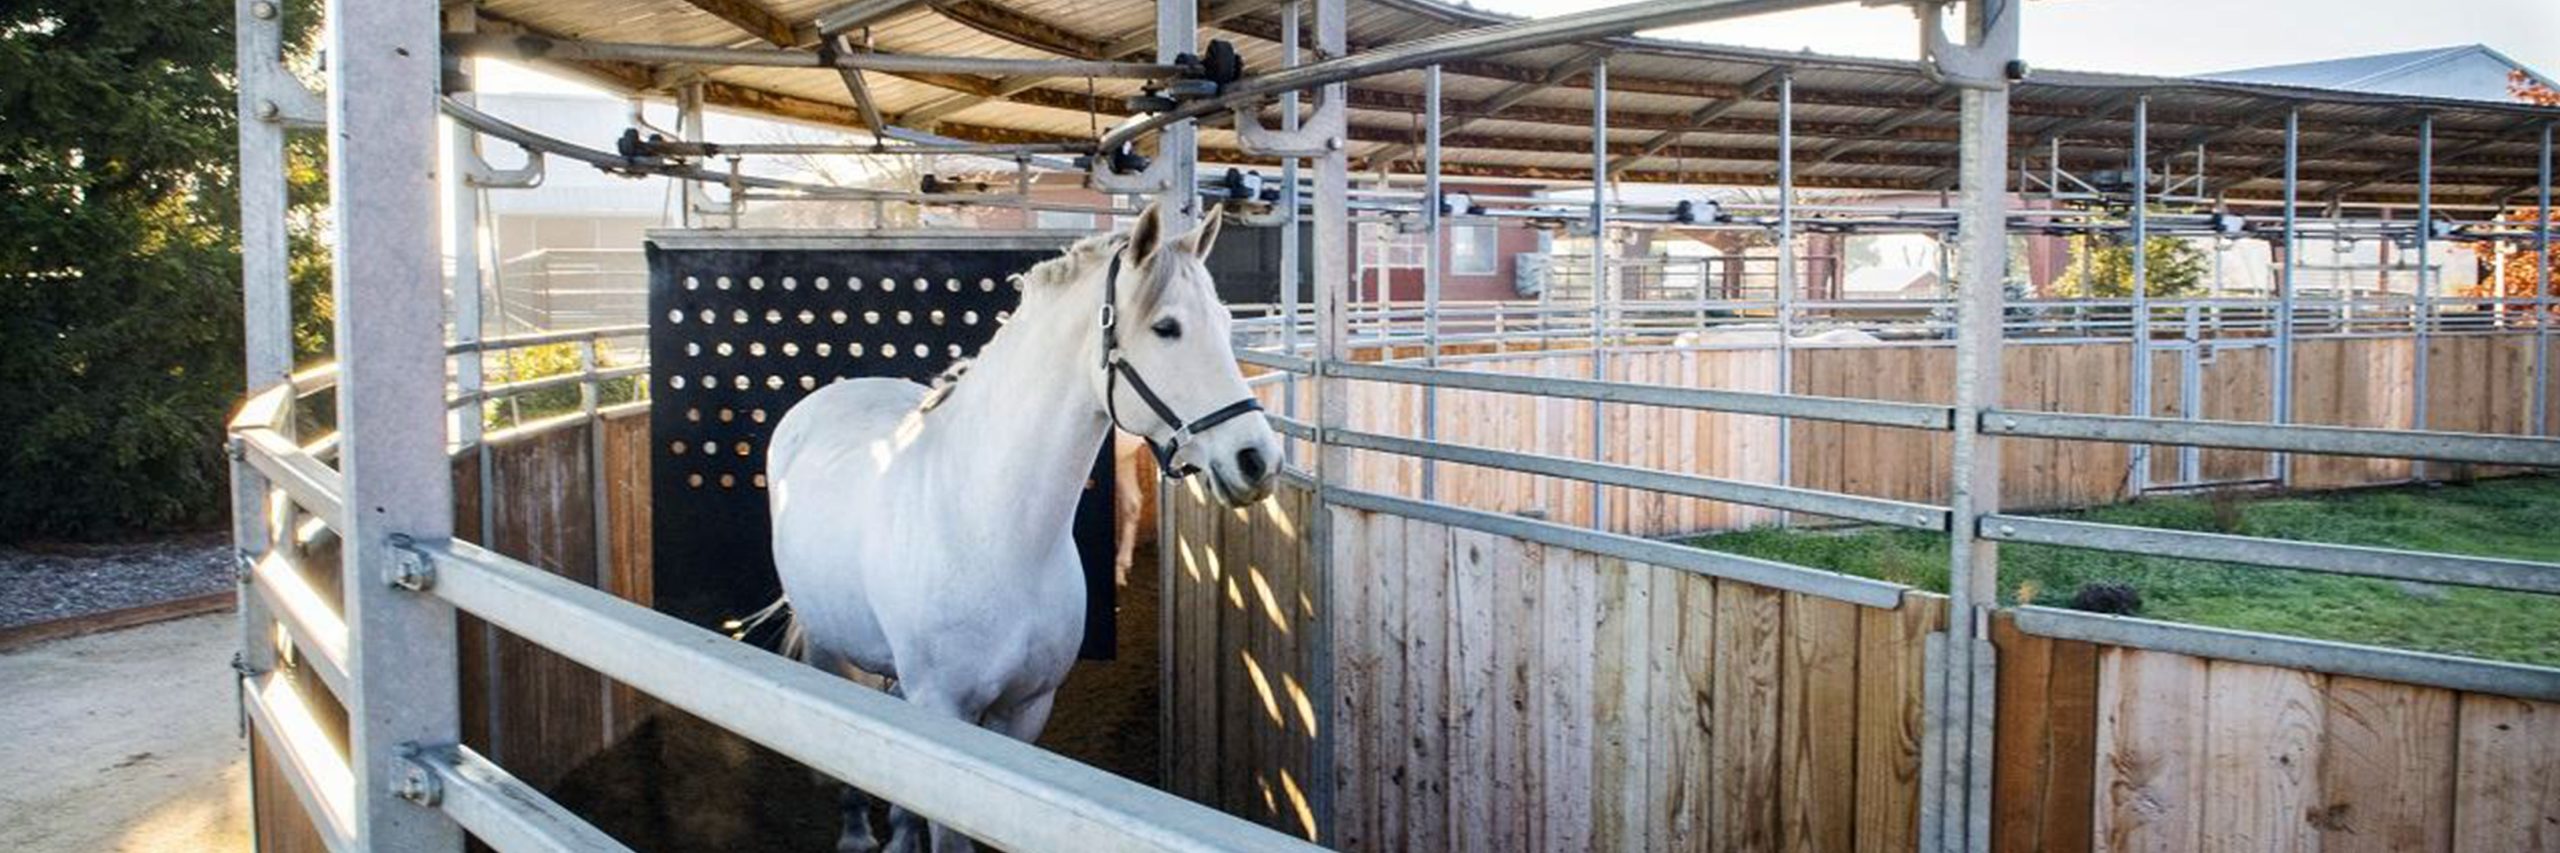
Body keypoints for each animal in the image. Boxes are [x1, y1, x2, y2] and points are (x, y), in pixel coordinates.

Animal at [764, 201, 1282, 853]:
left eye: (1223, 320)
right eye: (1167, 328)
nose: (1257, 460)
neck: (991, 531)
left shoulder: (1026, 710)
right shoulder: (946, 713)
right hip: (827, 644)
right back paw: (857, 832)